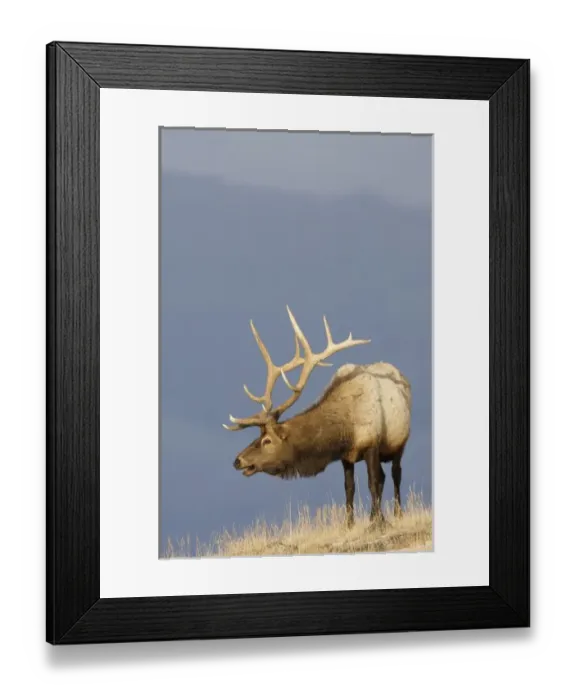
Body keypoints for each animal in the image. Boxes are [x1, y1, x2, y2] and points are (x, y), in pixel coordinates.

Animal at [222, 306, 412, 527]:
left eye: (267, 440)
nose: (238, 460)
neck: (345, 430)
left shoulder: (371, 443)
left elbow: (374, 481)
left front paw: (377, 520)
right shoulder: (346, 456)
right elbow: (349, 487)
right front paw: (349, 524)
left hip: (400, 442)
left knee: (395, 474)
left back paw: (398, 512)